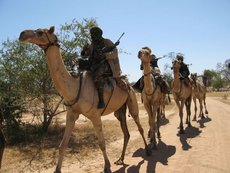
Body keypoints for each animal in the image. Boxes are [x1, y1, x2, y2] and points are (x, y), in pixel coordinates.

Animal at [18, 26, 150, 173]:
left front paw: (107, 167)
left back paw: (148, 151)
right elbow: (62, 145)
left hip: (132, 101)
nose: (22, 34)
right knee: (126, 133)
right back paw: (120, 159)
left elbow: (102, 143)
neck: (75, 86)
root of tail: (127, 84)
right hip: (120, 110)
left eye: (40, 32)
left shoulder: (95, 115)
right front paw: (57, 169)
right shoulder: (71, 114)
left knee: (139, 126)